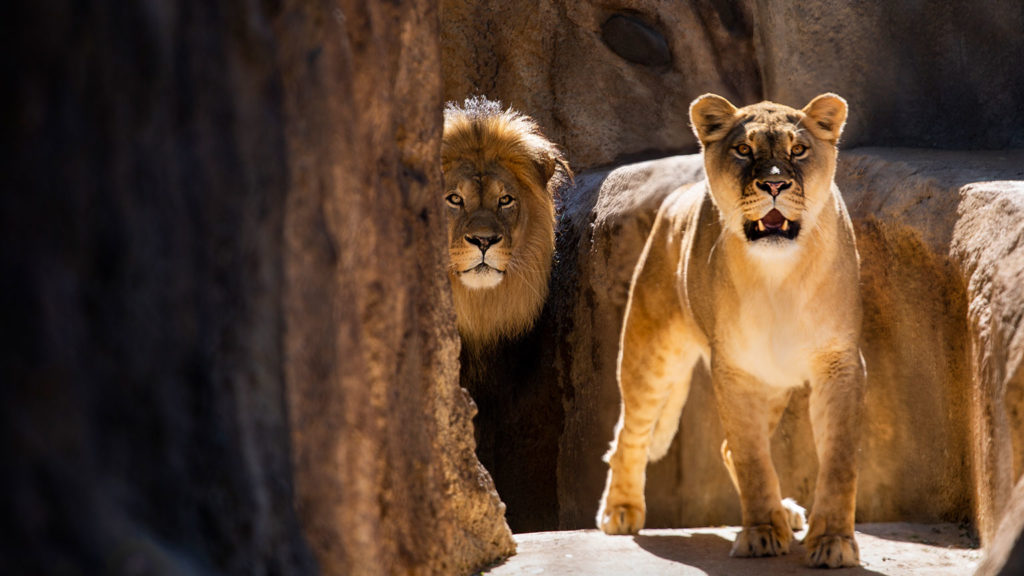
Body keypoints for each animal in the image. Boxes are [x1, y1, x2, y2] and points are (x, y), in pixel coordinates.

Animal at [598, 93, 864, 565]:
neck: (779, 272)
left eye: (799, 150)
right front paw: (761, 533)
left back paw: (787, 511)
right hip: (651, 353)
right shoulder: (737, 369)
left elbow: (838, 458)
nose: (775, 186)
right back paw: (621, 510)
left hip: (772, 382)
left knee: (721, 446)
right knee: (629, 433)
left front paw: (832, 540)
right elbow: (751, 457)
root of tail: (677, 195)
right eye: (743, 150)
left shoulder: (840, 361)